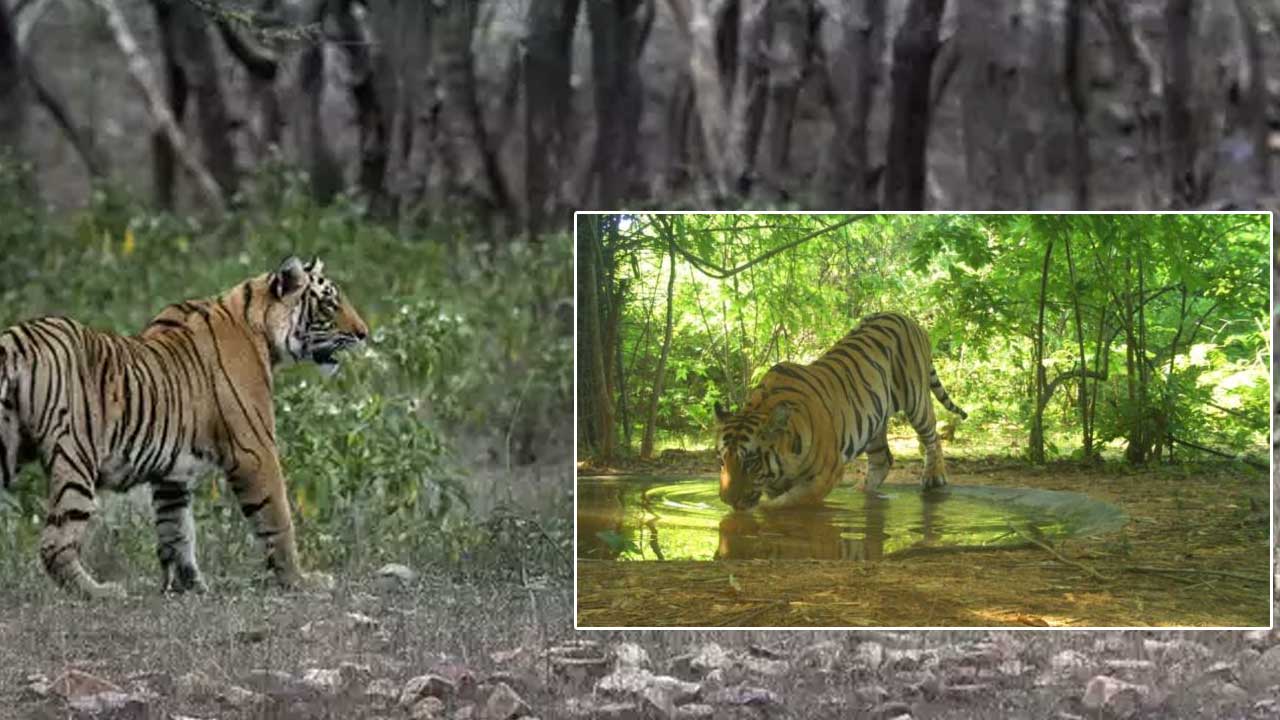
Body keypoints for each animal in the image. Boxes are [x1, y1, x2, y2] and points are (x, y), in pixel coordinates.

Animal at [0, 256, 368, 598]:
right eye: (330, 304)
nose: (364, 333)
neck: (260, 327)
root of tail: (15, 339)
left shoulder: (172, 473)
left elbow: (176, 530)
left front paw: (189, 585)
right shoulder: (255, 450)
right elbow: (278, 518)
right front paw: (299, 580)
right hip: (75, 457)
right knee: (55, 543)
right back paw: (100, 592)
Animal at [714, 312, 966, 511]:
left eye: (750, 462)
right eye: (722, 461)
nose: (727, 500)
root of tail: (907, 319)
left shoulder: (827, 472)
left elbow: (788, 502)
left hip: (916, 399)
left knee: (932, 436)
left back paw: (934, 477)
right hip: (873, 420)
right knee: (883, 459)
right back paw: (863, 491)